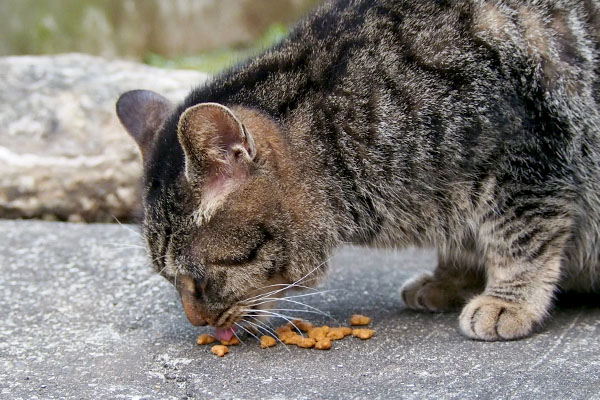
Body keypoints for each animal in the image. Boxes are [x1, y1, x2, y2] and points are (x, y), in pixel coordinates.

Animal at [116, 0, 600, 340]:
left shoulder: (526, 159)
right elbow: (463, 241)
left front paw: (509, 300)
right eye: (167, 278)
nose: (197, 322)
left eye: (196, 279)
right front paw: (451, 279)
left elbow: (520, 238)